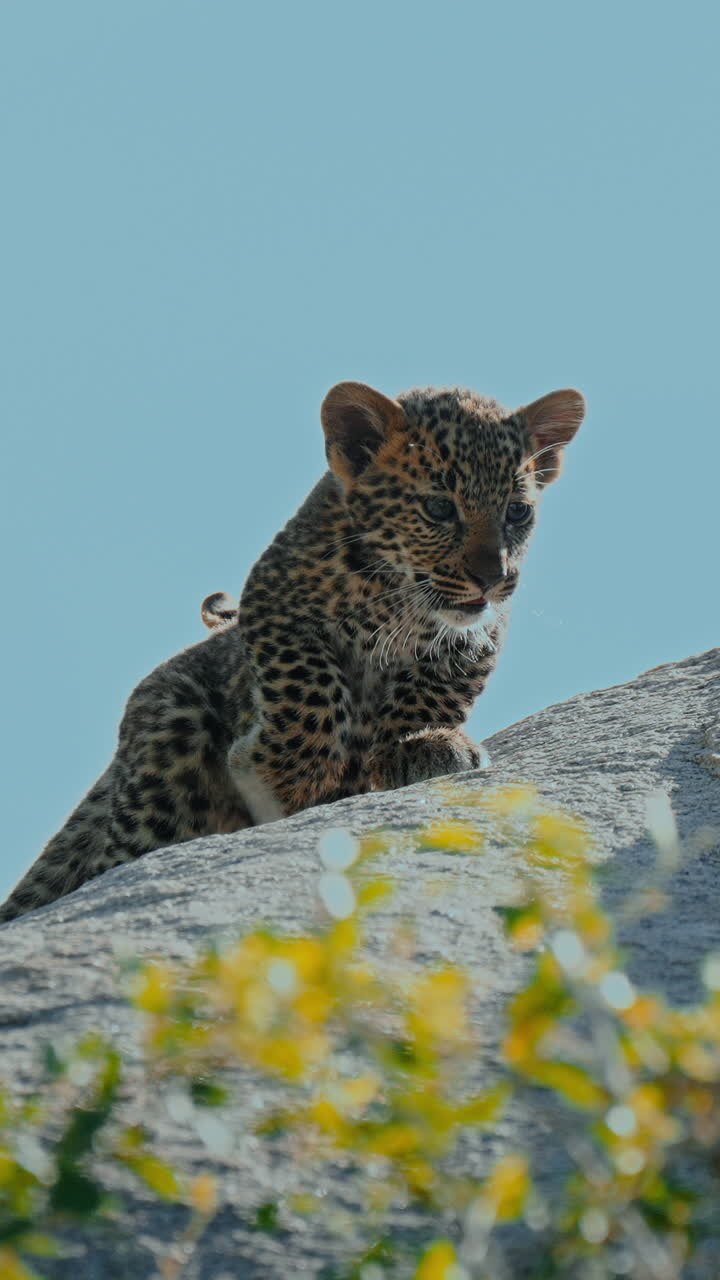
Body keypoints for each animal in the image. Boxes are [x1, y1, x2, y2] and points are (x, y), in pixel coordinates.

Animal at [0, 379, 585, 922]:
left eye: (517, 513)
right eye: (439, 508)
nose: (494, 578)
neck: (398, 598)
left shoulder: (474, 638)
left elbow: (430, 692)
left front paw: (415, 746)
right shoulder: (273, 604)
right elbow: (310, 686)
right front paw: (289, 775)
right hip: (166, 750)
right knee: (117, 859)